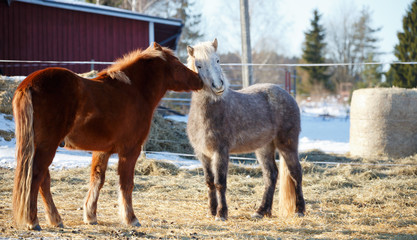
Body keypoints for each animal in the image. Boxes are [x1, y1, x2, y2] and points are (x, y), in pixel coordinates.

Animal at [11, 42, 203, 230]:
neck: (134, 90)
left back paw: (55, 219)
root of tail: (28, 84)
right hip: (47, 146)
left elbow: (97, 180)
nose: (199, 80)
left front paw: (90, 216)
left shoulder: (102, 151)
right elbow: (126, 184)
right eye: (177, 63)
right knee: (36, 177)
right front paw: (131, 219)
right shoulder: (130, 151)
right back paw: (33, 221)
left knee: (43, 180)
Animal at [187, 39, 304, 221]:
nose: (218, 86)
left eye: (218, 60)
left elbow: (220, 182)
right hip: (264, 147)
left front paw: (221, 214)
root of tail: (288, 95)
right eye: (198, 65)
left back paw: (299, 210)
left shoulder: (221, 152)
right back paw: (261, 211)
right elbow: (209, 181)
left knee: (295, 173)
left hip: (287, 145)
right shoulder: (202, 154)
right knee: (271, 175)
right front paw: (211, 211)